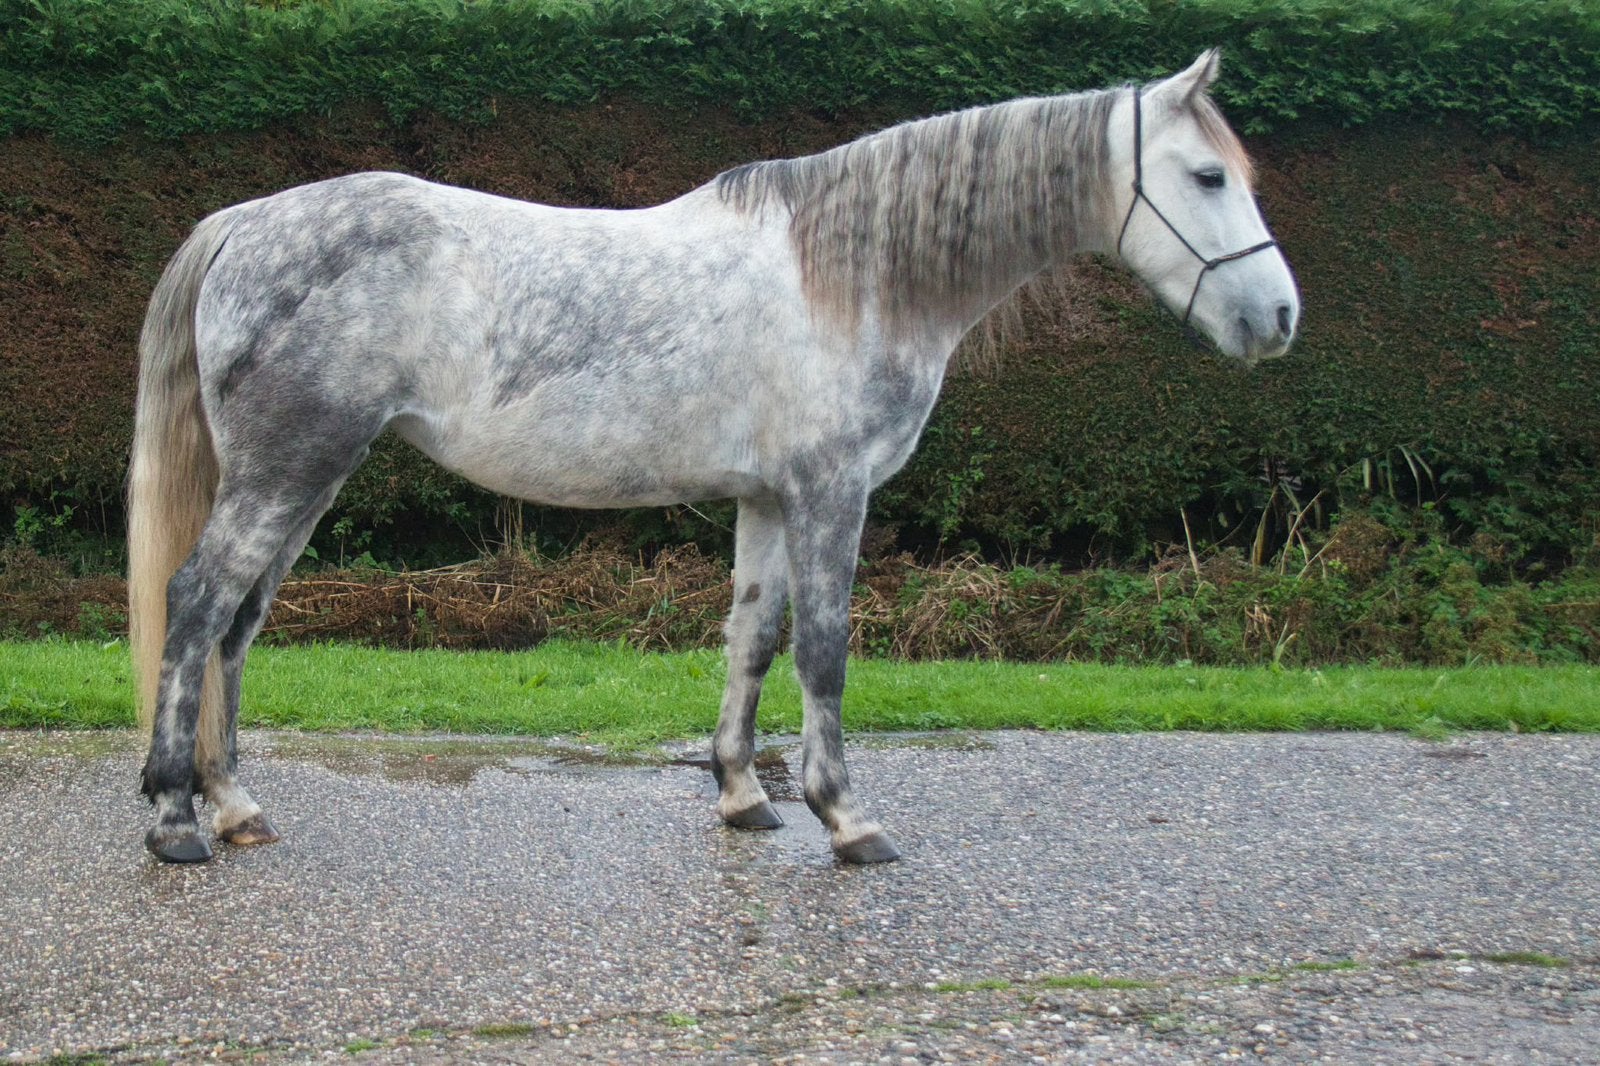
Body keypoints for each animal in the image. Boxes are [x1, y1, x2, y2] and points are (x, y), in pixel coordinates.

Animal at [128, 50, 1298, 865]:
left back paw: (235, 805)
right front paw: (847, 819)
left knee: (237, 622)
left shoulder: (768, 499)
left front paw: (743, 796)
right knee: (196, 603)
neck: (856, 276)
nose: (1279, 317)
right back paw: (177, 817)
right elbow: (824, 650)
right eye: (1206, 175)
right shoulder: (831, 492)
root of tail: (246, 222)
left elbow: (752, 638)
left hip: (306, 478)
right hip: (287, 471)